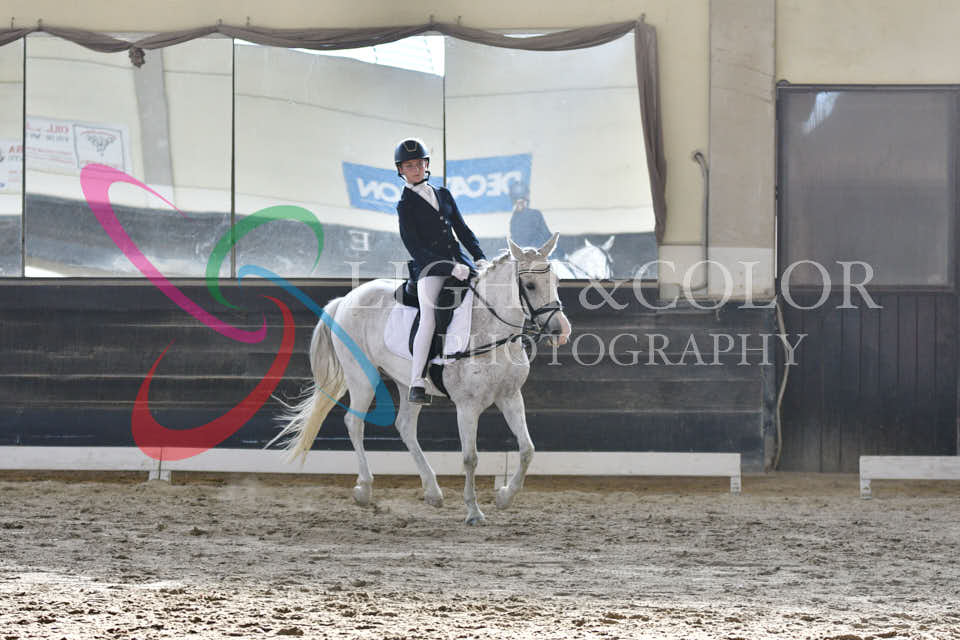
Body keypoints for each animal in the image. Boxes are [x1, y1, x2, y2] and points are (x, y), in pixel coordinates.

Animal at [269, 233, 572, 524]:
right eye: (530, 285)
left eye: (556, 280)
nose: (560, 330)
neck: (491, 331)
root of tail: (346, 299)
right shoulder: (467, 407)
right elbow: (470, 458)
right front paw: (473, 511)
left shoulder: (510, 397)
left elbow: (527, 449)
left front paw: (505, 497)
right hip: (362, 376)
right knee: (354, 423)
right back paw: (364, 489)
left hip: (407, 384)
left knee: (404, 425)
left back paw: (432, 492)